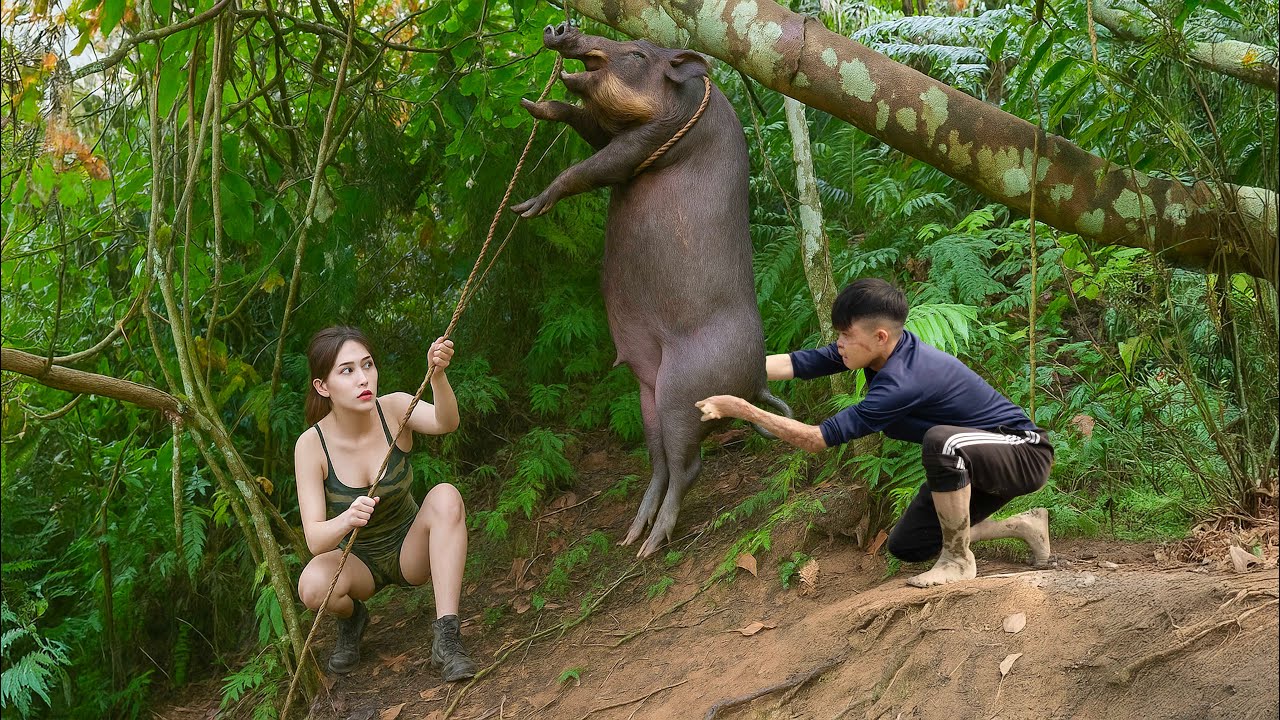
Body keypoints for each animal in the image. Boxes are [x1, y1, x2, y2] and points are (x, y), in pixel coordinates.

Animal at [512, 23, 790, 557]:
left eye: (639, 54)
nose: (563, 28)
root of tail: (757, 381)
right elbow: (588, 126)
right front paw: (533, 104)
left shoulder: (653, 138)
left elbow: (595, 167)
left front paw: (527, 207)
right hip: (648, 392)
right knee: (659, 461)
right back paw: (630, 535)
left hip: (685, 391)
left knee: (689, 466)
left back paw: (650, 545)